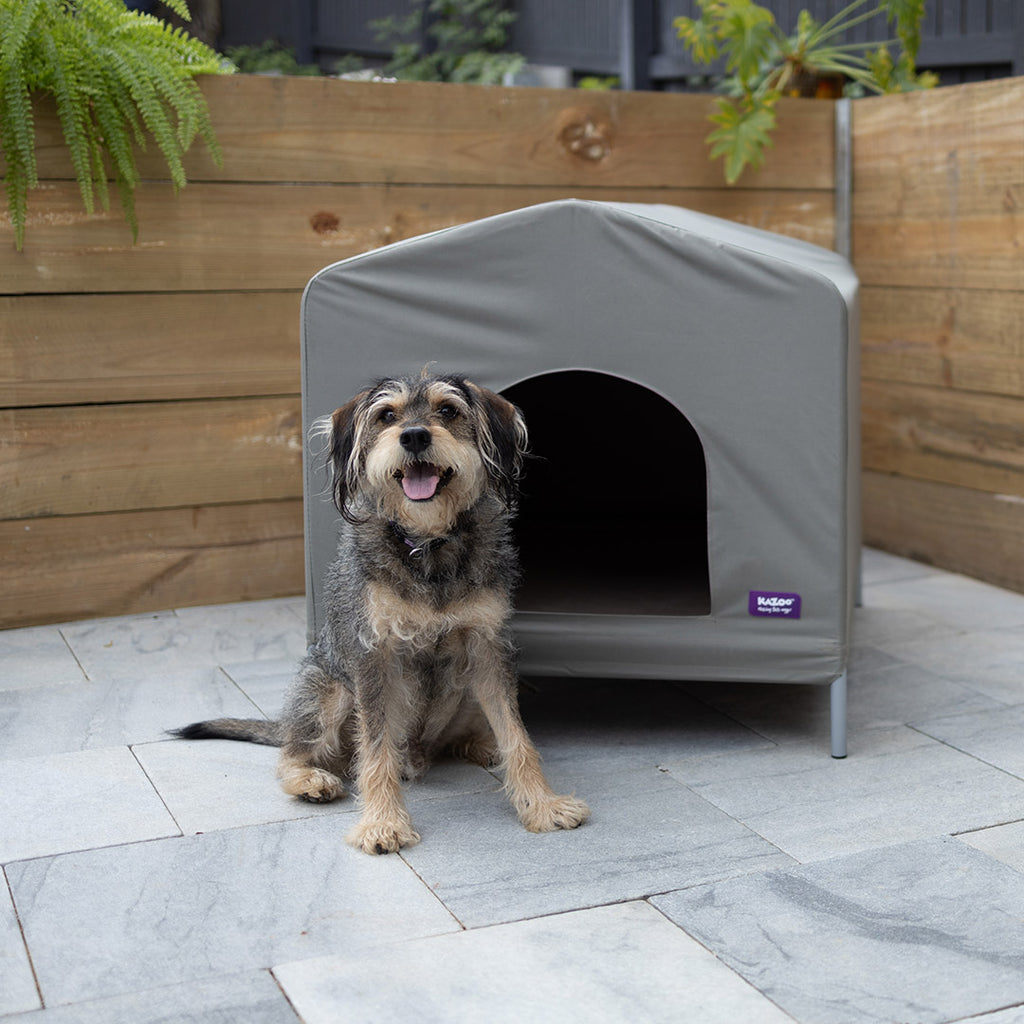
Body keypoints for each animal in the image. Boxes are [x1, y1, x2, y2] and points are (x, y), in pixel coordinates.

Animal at [172, 372, 589, 851]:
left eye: (448, 410)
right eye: (387, 415)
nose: (414, 436)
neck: (427, 546)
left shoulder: (488, 649)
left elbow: (518, 737)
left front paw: (543, 804)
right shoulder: (375, 655)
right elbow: (375, 748)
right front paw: (383, 823)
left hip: (466, 687)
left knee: (469, 735)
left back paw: (482, 746)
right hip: (329, 691)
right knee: (294, 753)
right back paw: (311, 779)